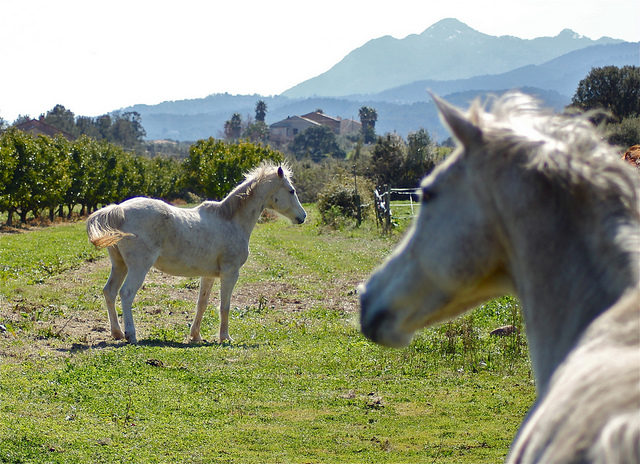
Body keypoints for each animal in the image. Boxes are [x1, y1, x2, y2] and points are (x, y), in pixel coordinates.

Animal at [87, 162, 306, 344]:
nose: (302, 217)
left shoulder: (208, 275)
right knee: (126, 293)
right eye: (291, 190)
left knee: (110, 292)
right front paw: (225, 338)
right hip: (138, 267)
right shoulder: (230, 273)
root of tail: (120, 210)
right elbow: (224, 306)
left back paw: (116, 333)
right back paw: (131, 335)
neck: (231, 220)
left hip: (120, 265)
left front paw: (195, 336)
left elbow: (202, 304)